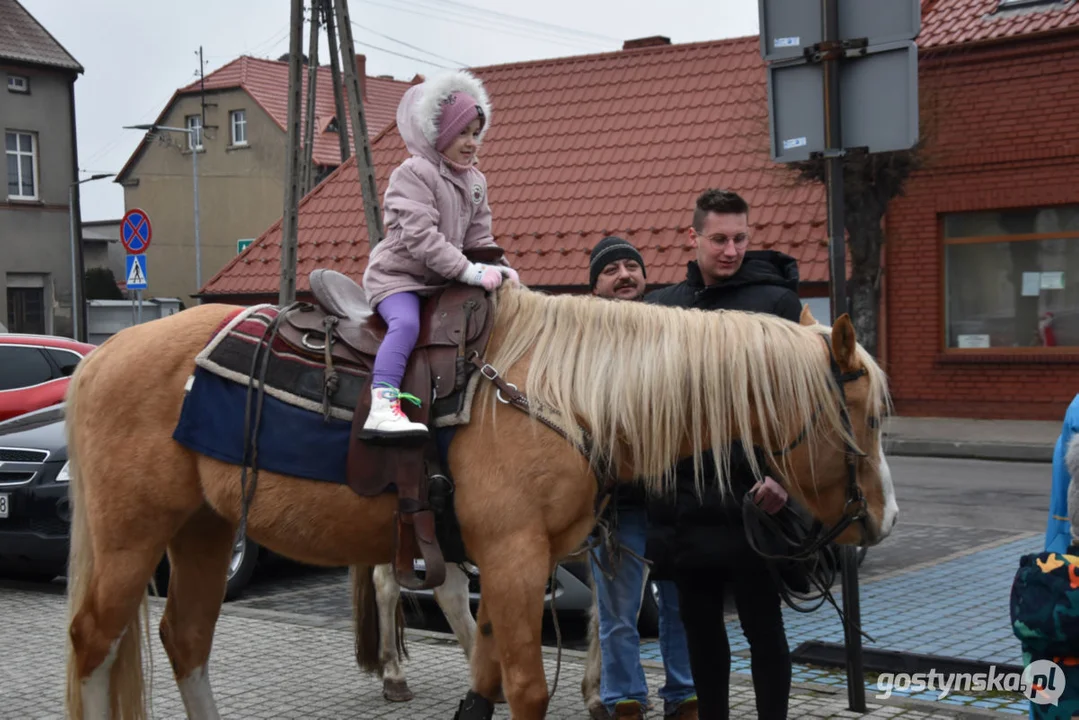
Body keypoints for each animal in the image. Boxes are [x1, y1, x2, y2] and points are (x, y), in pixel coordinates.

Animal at [63, 282, 897, 720]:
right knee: (93, 642)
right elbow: (525, 688)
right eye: (870, 417)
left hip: (202, 530)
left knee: (184, 639)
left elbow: (490, 678)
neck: (565, 392)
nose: (884, 520)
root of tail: (100, 356)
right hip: (132, 537)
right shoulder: (515, 558)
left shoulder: (512, 566)